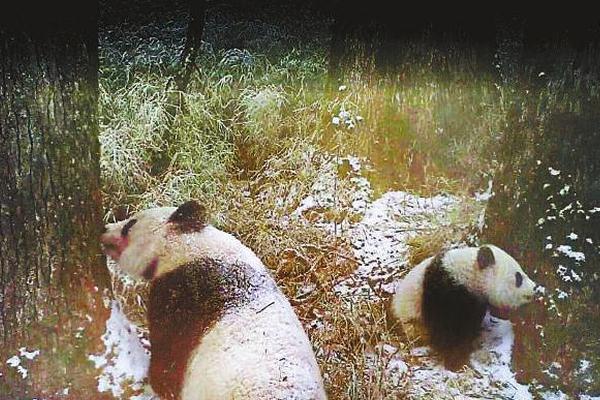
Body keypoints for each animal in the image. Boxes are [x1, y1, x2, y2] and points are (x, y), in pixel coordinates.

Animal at [392, 245, 536, 370]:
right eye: (518, 277)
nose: (534, 287)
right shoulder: (445, 293)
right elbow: (446, 329)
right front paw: (455, 360)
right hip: (411, 321)